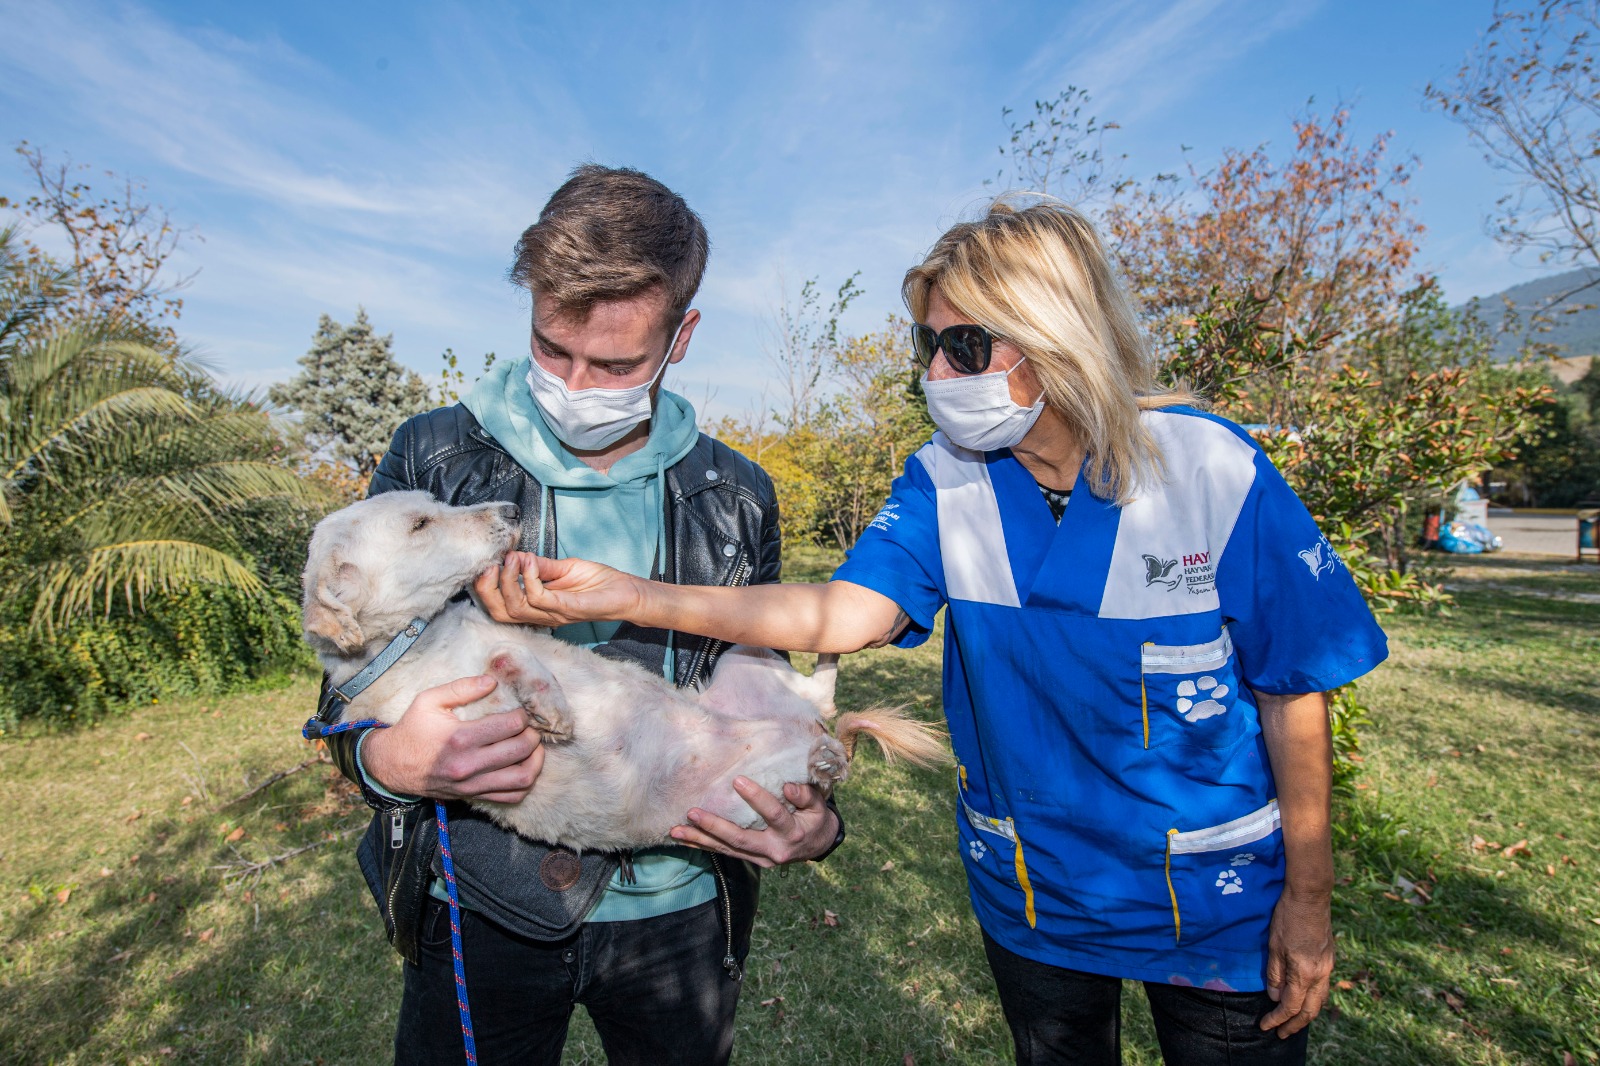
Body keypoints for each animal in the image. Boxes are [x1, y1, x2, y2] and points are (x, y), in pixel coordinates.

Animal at [305, 489, 940, 845]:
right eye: (419, 524)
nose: (511, 509)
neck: (418, 641)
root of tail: (806, 732)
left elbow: (519, 652)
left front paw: (540, 686)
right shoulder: (459, 721)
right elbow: (508, 674)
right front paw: (545, 703)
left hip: (745, 659)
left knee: (823, 692)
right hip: (736, 801)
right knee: (827, 724)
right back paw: (827, 753)